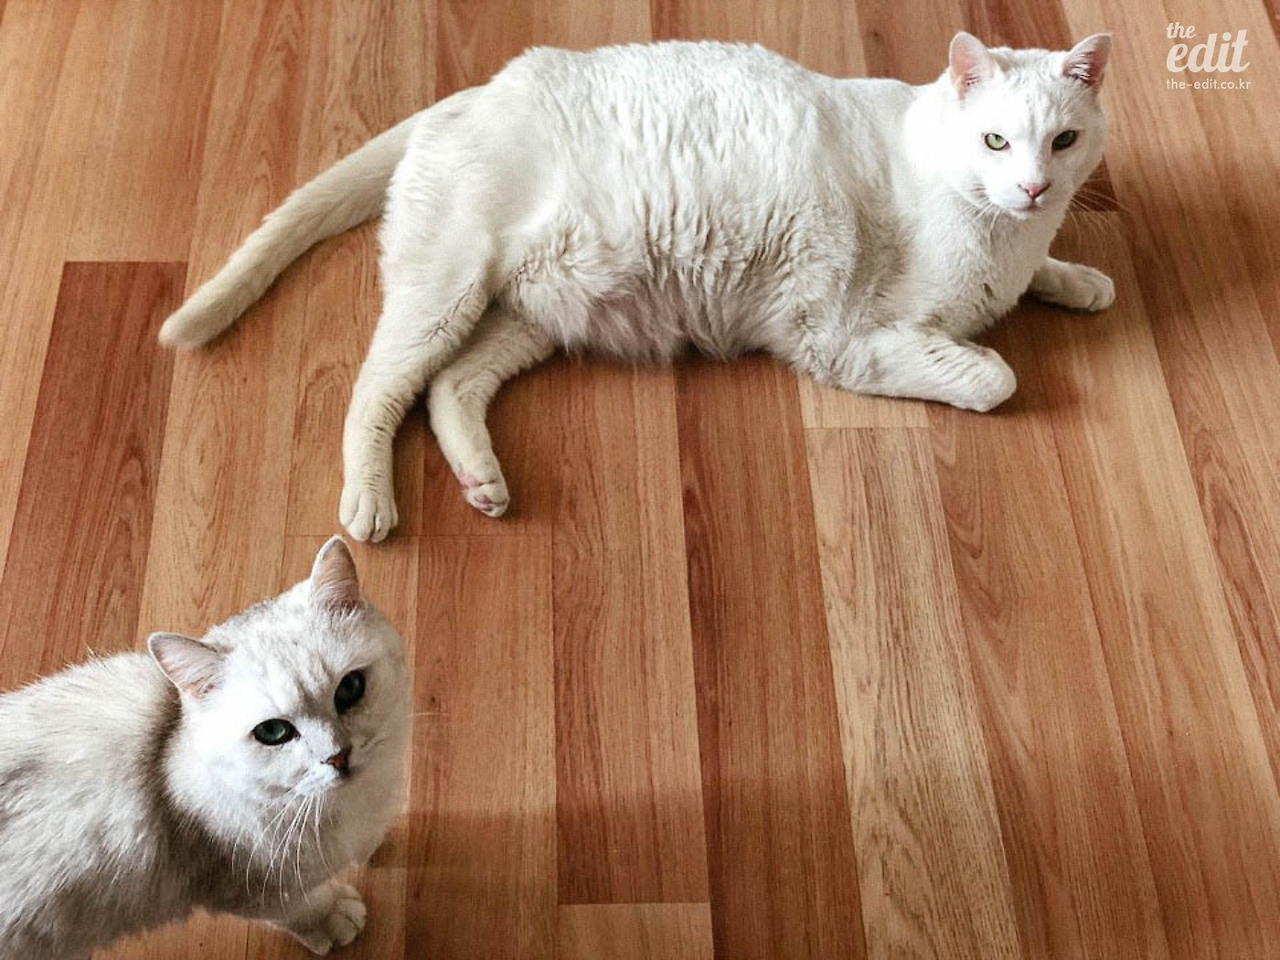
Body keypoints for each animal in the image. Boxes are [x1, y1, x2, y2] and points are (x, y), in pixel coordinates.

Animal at [0, 538, 408, 959]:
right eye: (273, 732)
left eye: (350, 688)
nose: (337, 756)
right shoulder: (250, 891)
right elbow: (301, 909)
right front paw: (334, 918)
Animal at [158, 33, 1115, 543]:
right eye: (996, 141)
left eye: (1063, 142)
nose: (1034, 187)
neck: (997, 234)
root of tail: (468, 95)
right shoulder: (841, 337)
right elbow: (993, 375)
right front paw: (989, 345)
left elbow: (1043, 281)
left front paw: (1081, 279)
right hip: (446, 290)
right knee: (377, 390)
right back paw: (370, 503)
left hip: (530, 314)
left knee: (449, 388)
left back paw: (483, 484)